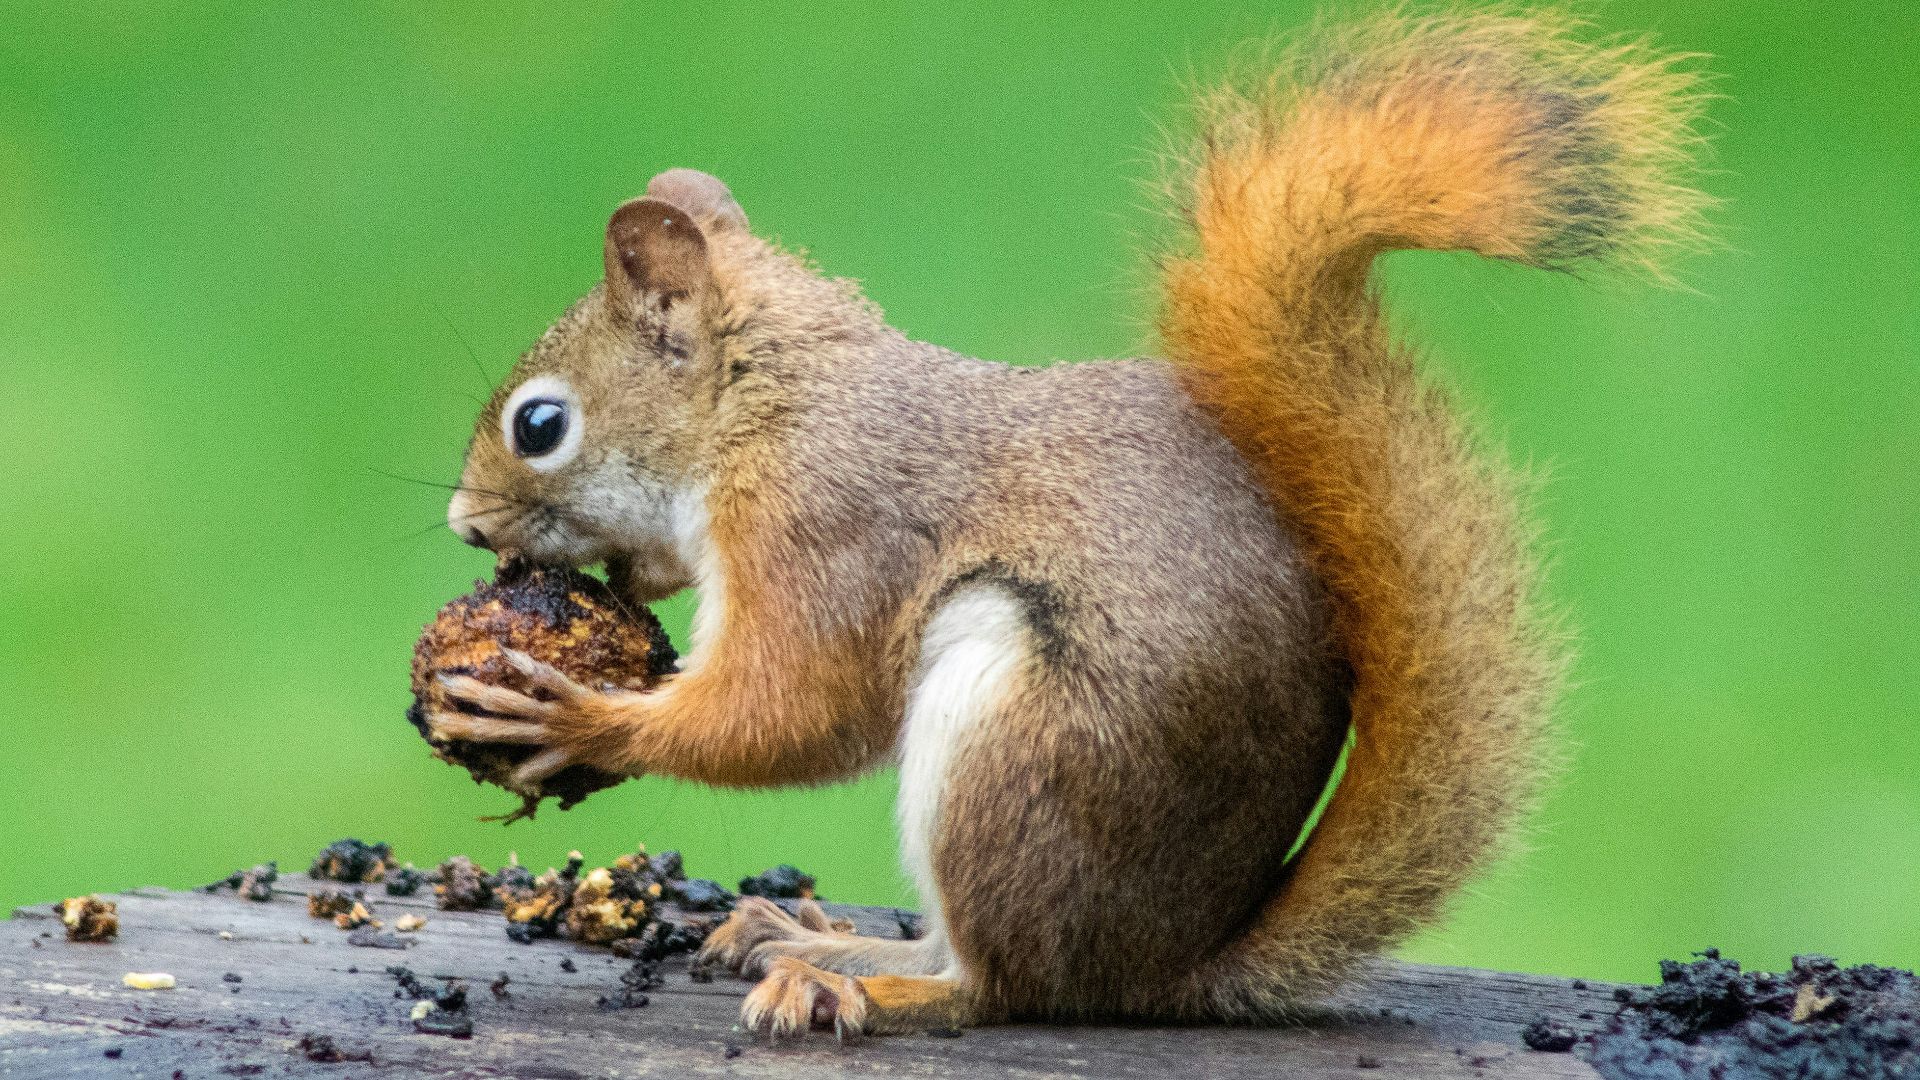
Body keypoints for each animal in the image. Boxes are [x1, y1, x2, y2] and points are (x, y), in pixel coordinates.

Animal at [424, 8, 1707, 1037]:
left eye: (541, 425)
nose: (464, 525)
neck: (768, 404)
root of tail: (1164, 968)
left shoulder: (826, 527)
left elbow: (795, 710)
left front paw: (578, 715)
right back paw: (808, 935)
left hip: (1013, 742)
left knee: (999, 987)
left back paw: (861, 983)